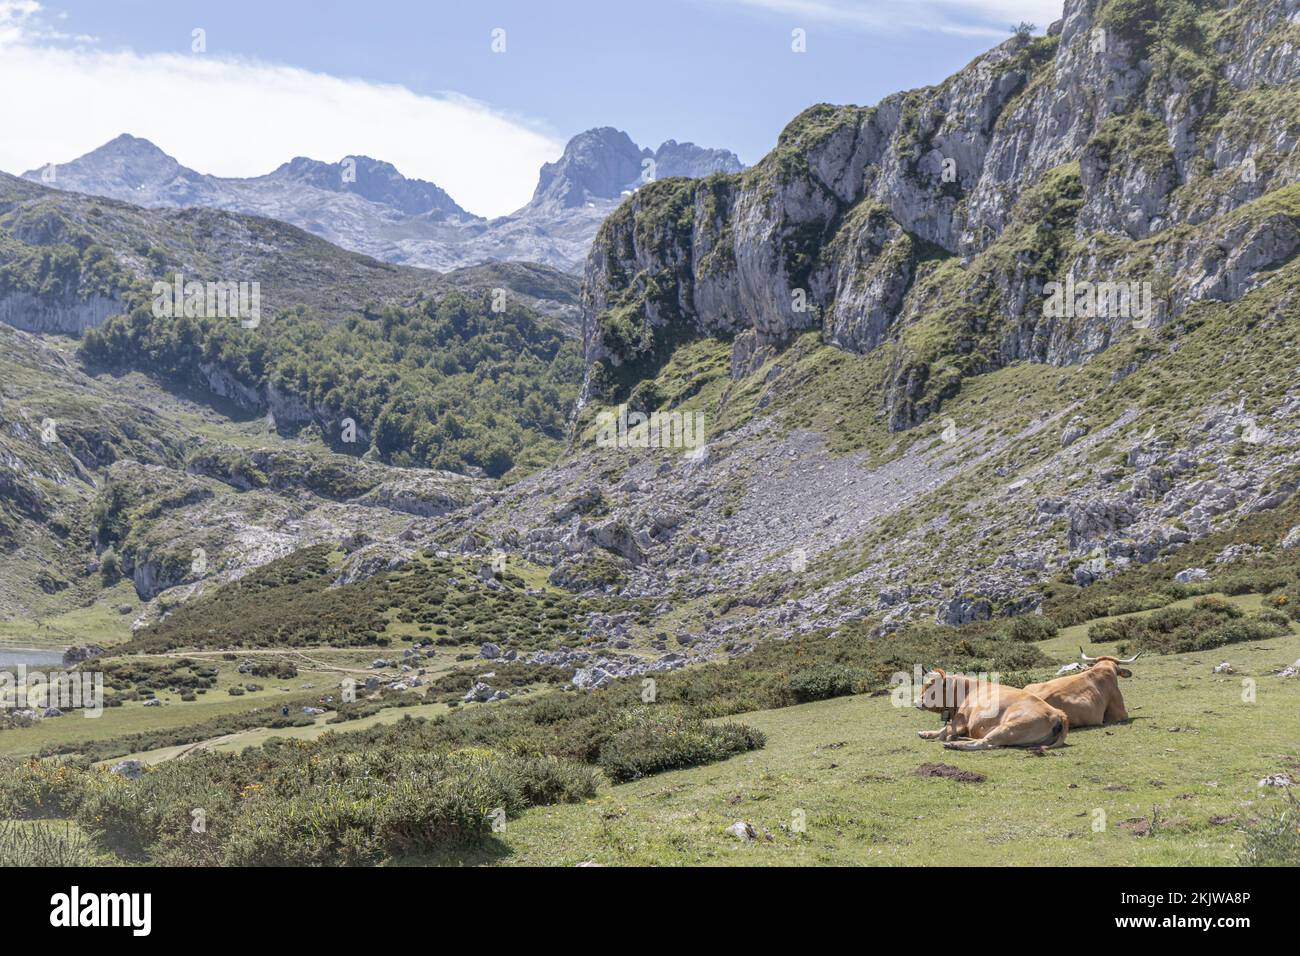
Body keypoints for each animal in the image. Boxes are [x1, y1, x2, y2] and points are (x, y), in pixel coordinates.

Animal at [915, 669, 1069, 751]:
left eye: (930, 686)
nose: (916, 702)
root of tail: (1057, 713)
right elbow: (941, 729)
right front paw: (925, 733)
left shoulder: (961, 722)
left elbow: (944, 730)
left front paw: (943, 736)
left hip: (1010, 727)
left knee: (985, 743)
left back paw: (954, 743)